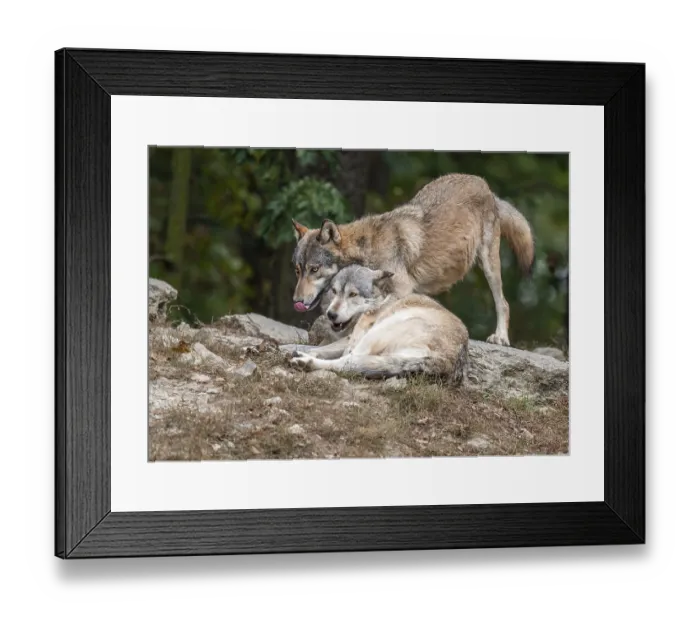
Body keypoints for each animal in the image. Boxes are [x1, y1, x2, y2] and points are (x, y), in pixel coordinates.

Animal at [289, 265, 469, 382]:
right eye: (334, 291)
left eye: (353, 294)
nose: (331, 315)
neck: (380, 302)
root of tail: (446, 361)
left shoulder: (354, 336)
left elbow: (324, 349)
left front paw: (297, 350)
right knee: (349, 364)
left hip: (382, 330)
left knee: (347, 361)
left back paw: (304, 361)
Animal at [291, 173, 533, 346]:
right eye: (298, 270)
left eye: (314, 269)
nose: (296, 300)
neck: (367, 250)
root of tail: (485, 186)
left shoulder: (401, 291)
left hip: (489, 265)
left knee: (503, 303)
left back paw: (500, 338)